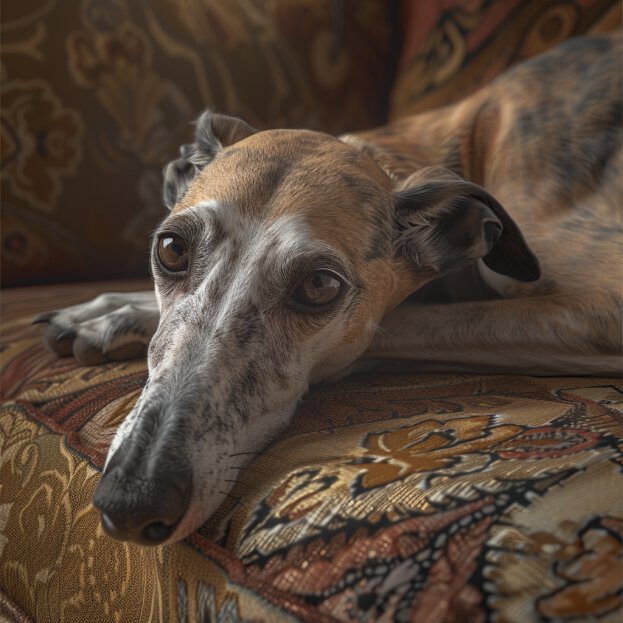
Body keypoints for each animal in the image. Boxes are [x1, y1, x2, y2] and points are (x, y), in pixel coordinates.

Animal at [35, 34, 623, 544]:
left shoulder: (604, 307)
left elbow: (393, 326)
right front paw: (109, 313)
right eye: (172, 249)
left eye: (319, 285)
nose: (132, 500)